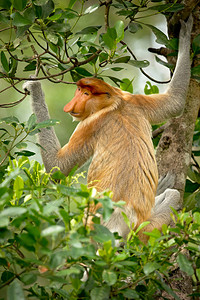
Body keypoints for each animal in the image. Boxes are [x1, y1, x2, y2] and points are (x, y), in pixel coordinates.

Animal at [23, 15, 192, 241]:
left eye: (85, 94)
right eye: (79, 90)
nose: (70, 106)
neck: (114, 104)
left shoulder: (90, 124)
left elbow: (57, 168)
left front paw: (34, 87)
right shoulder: (135, 101)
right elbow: (175, 102)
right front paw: (186, 36)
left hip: (140, 232)